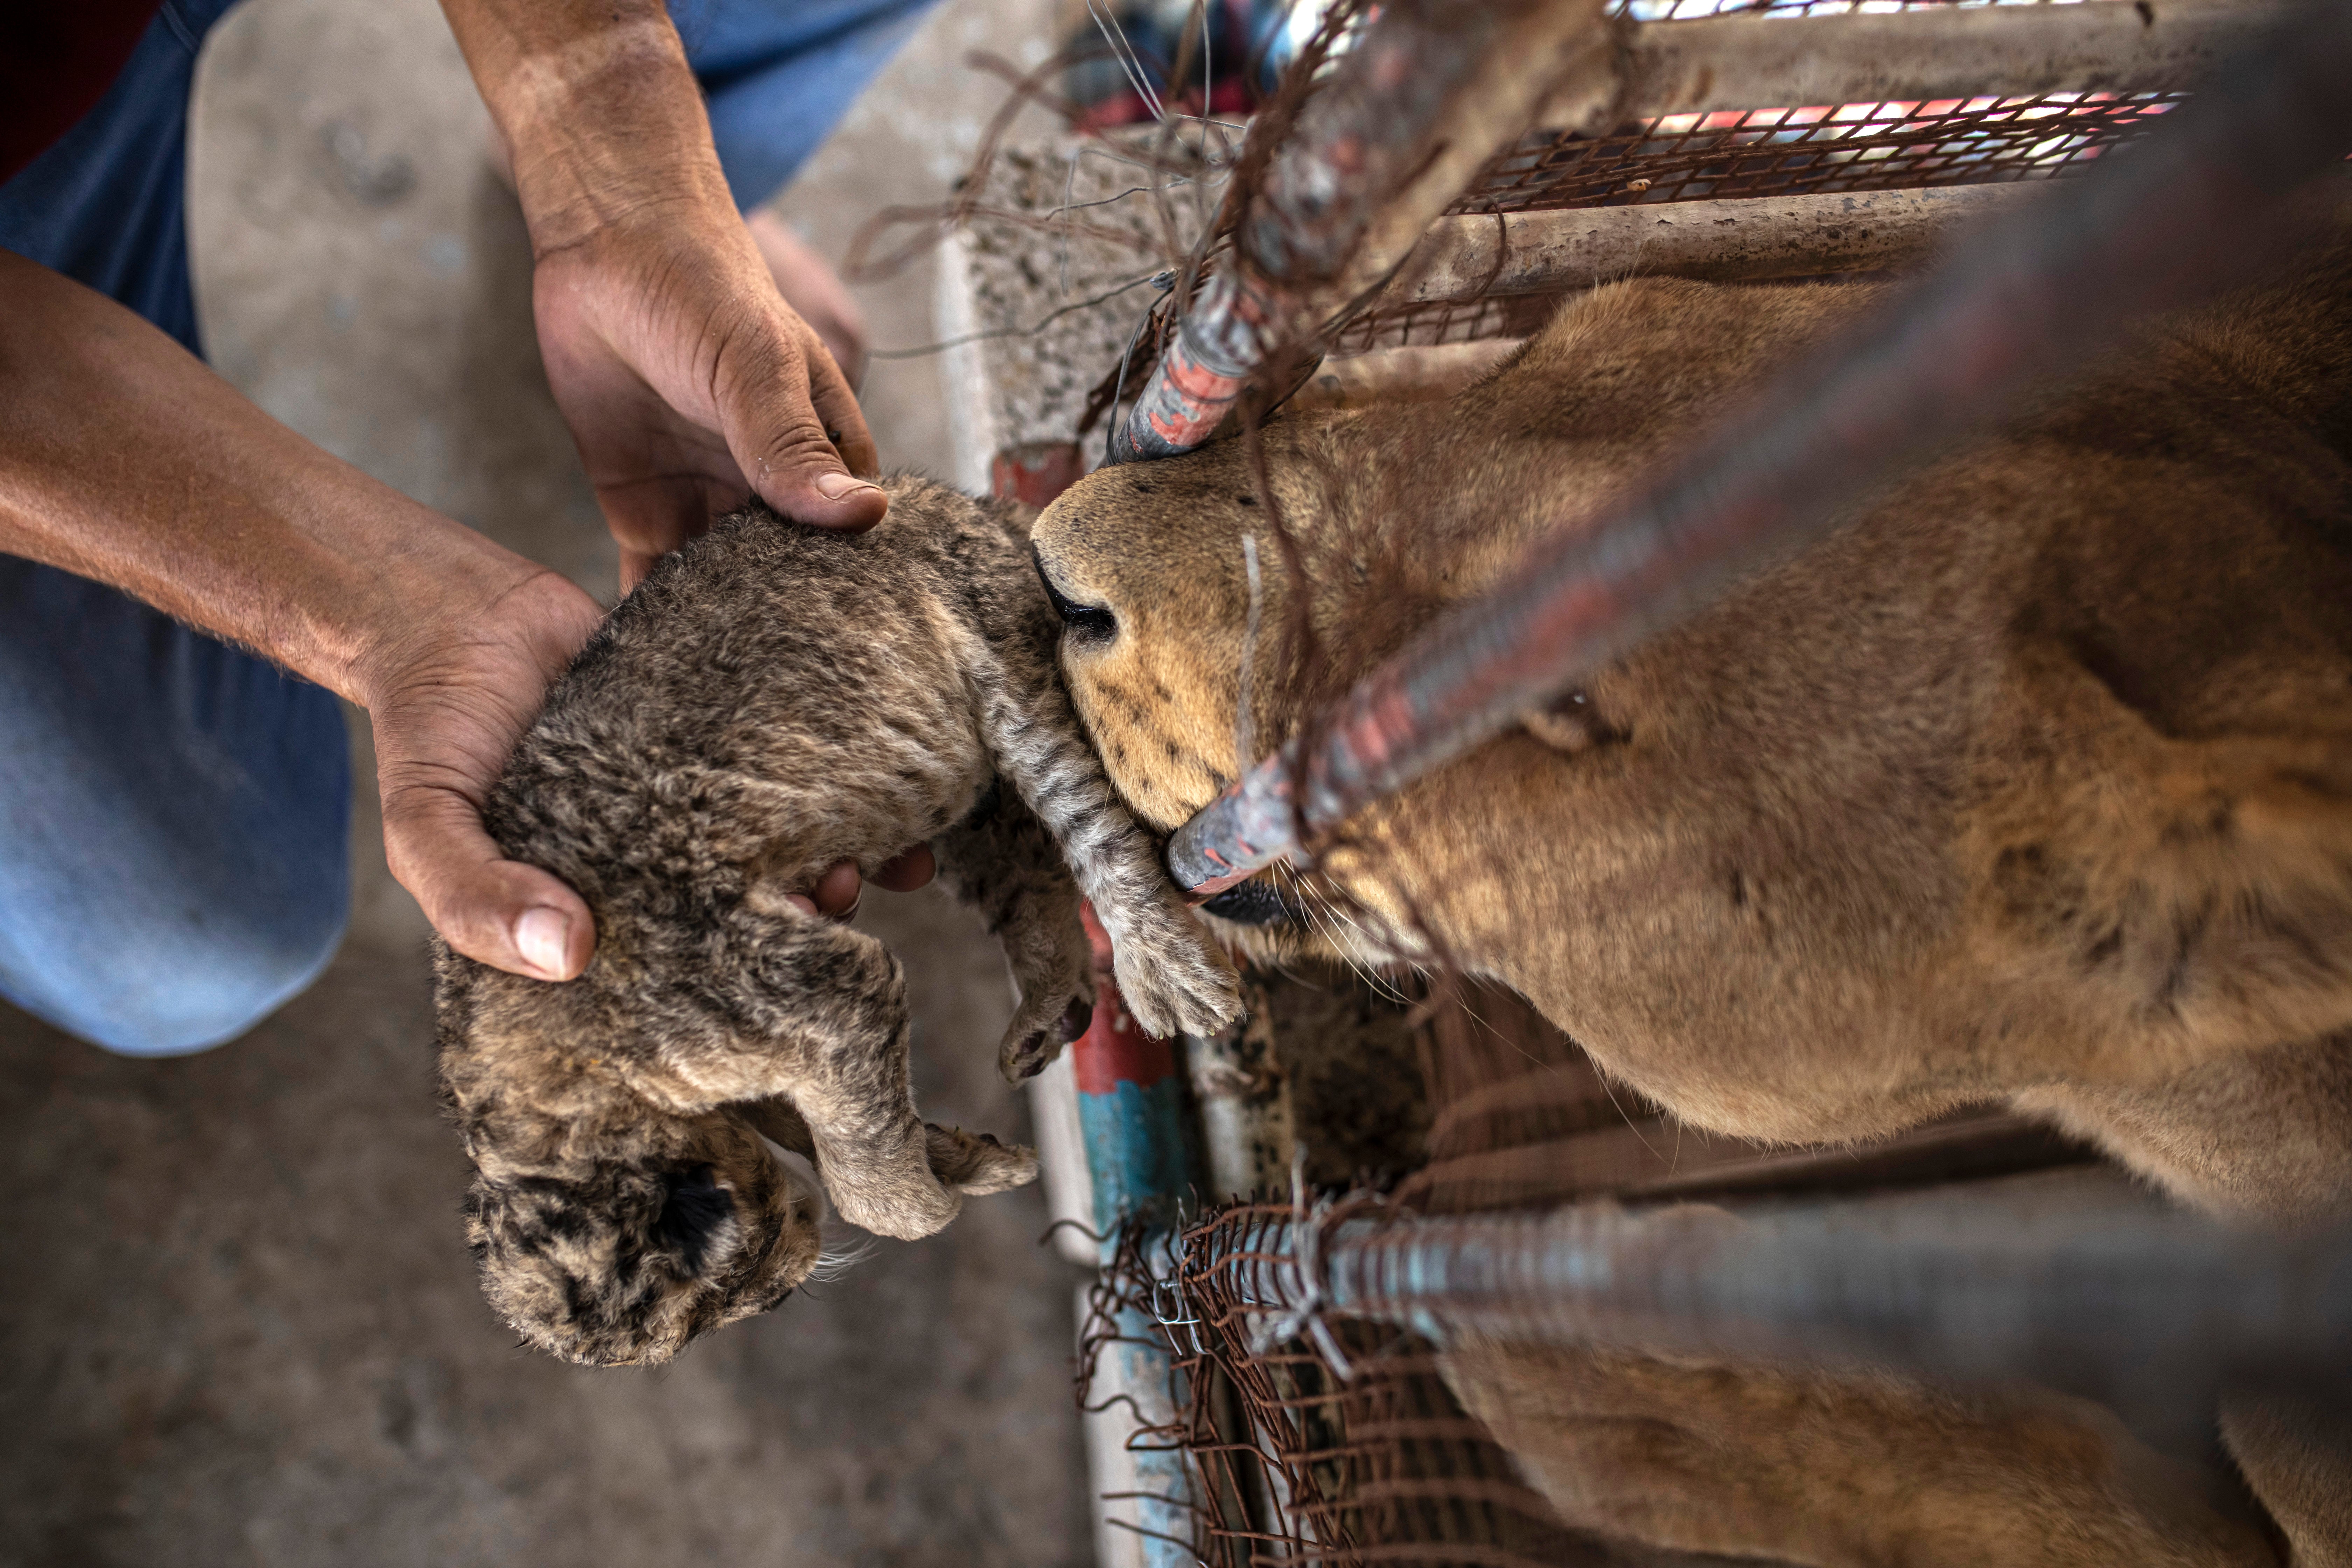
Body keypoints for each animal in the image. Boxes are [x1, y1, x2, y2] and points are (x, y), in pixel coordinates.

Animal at [437, 480, 1238, 1367]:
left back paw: (1169, 975)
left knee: (1093, 824)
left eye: (725, 1290)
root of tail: (944, 497)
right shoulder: (768, 1054)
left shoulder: (816, 988)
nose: (785, 1294)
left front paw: (928, 1203)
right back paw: (1047, 1009)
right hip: (947, 791)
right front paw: (963, 1160)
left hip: (1001, 661)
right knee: (1024, 860)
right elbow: (819, 1120)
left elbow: (863, 1166)